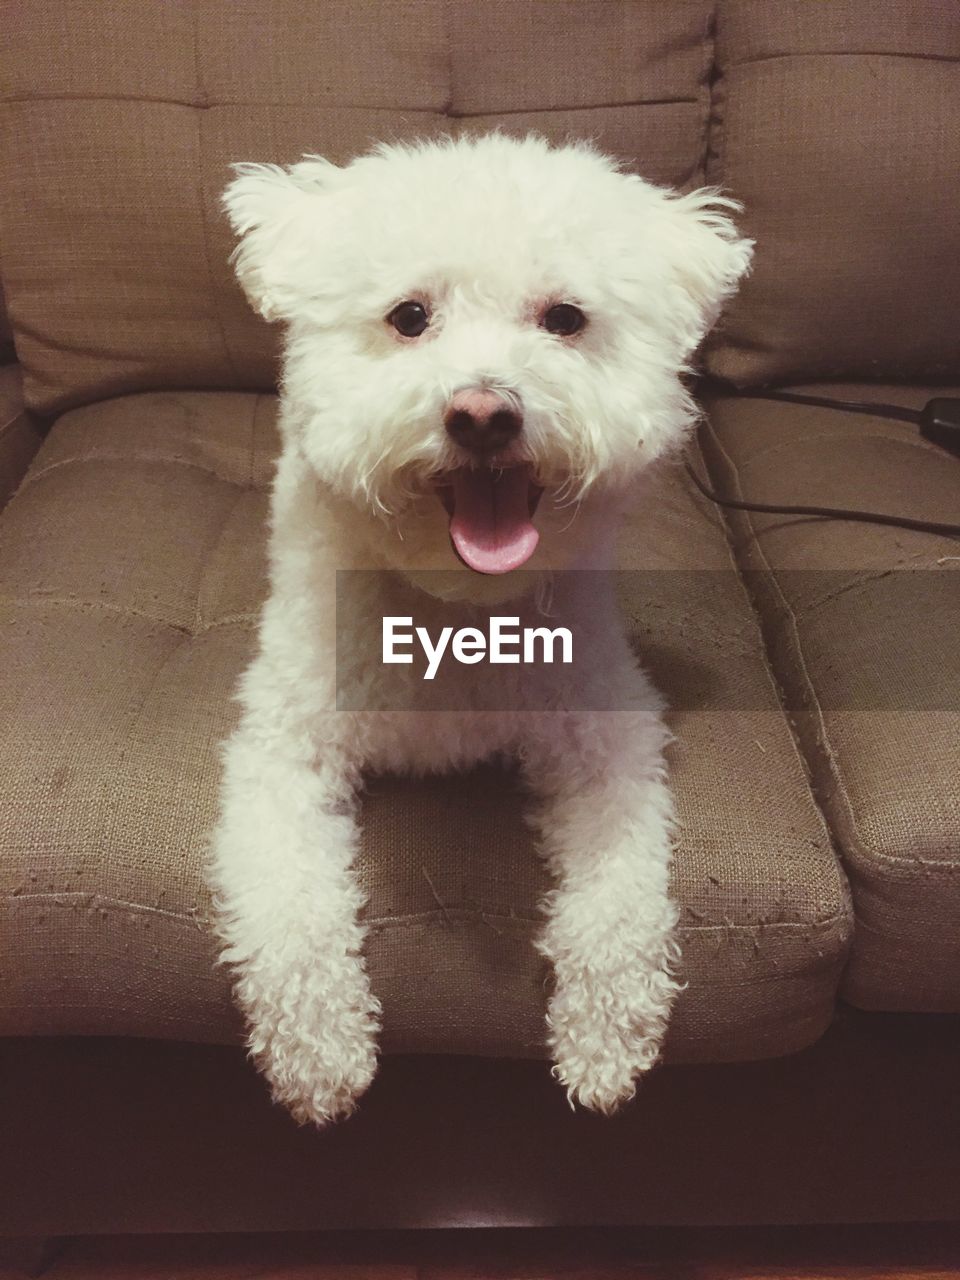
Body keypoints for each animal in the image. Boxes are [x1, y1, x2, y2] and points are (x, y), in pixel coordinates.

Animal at [208, 135, 752, 1126]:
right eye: (409, 316)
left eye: (565, 319)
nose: (484, 414)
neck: (457, 609)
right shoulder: (282, 751)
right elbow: (290, 914)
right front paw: (319, 1058)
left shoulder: (608, 735)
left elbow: (621, 898)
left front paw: (603, 1041)